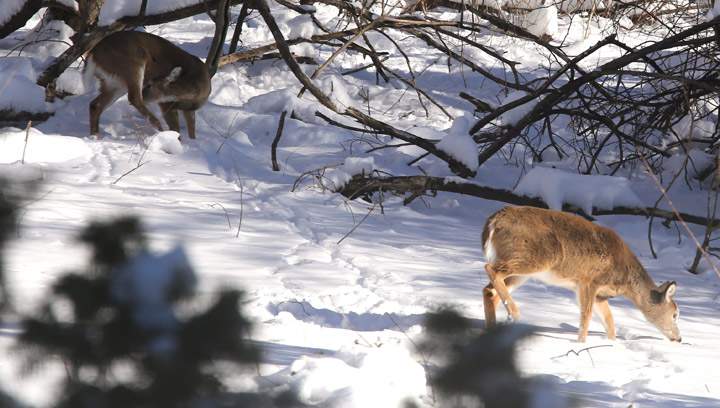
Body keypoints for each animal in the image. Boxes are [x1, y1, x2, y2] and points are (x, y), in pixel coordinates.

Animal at [482, 206, 681, 343]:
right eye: (675, 314)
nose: (679, 338)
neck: (624, 280)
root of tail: (492, 222)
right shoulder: (588, 281)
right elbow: (586, 315)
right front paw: (581, 343)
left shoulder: (600, 295)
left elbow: (609, 321)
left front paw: (612, 344)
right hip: (537, 256)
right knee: (490, 269)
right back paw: (514, 313)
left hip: (521, 270)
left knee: (489, 291)